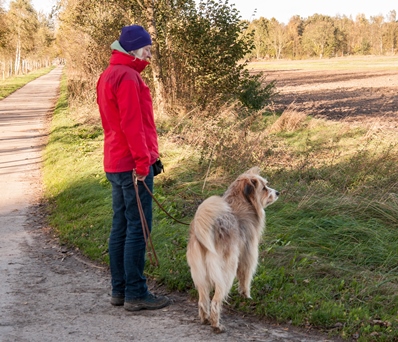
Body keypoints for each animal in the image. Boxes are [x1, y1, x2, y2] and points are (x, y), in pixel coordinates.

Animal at [187, 167, 278, 332]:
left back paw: (205, 318)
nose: (278, 192)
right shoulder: (248, 254)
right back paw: (216, 324)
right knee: (216, 301)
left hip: (200, 275)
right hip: (226, 271)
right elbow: (245, 278)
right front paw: (246, 296)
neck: (242, 200)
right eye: (264, 188)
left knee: (203, 300)